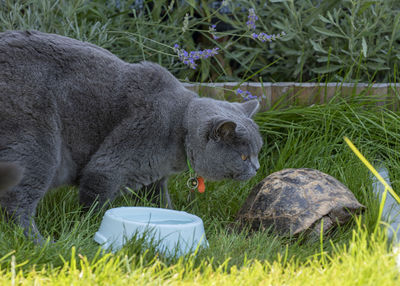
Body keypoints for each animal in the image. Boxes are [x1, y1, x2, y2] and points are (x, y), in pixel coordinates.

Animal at [0, 30, 262, 242]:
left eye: (257, 153)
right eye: (243, 157)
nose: (258, 168)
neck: (178, 127)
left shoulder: (153, 178)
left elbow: (160, 203)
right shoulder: (109, 166)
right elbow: (95, 202)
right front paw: (88, 227)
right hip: (38, 143)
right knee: (16, 204)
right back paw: (40, 242)